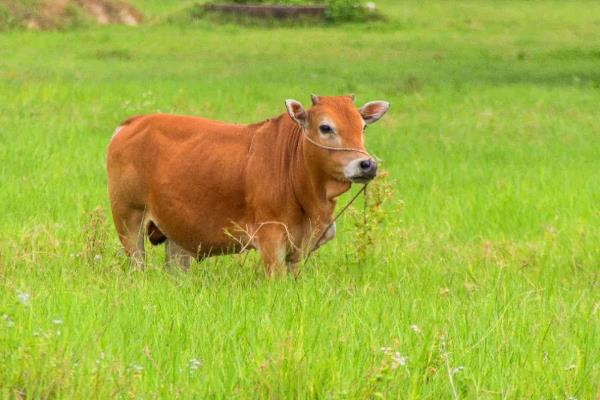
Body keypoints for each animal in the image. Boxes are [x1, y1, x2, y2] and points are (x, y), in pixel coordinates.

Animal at [107, 94, 390, 276]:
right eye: (326, 127)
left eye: (362, 127)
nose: (366, 164)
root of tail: (131, 123)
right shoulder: (270, 238)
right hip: (129, 221)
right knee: (138, 264)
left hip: (176, 236)